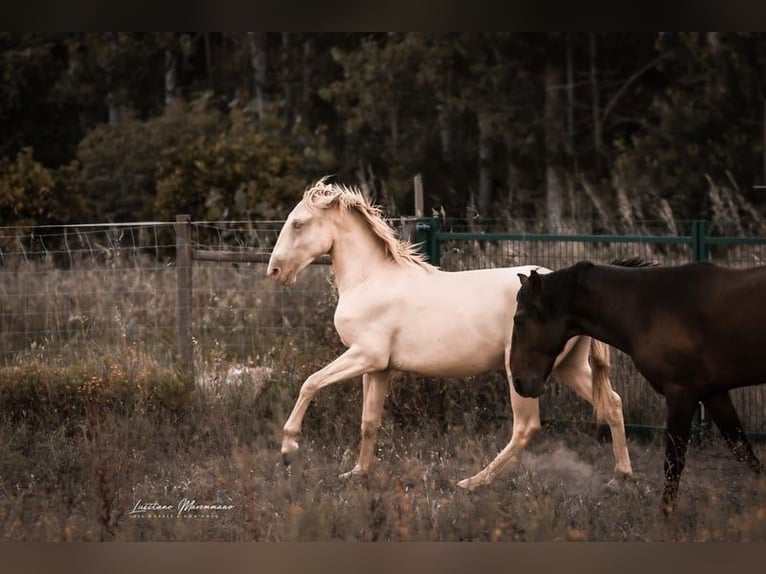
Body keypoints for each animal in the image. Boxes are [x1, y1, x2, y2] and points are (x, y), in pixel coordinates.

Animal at [268, 180, 632, 490]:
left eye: (298, 224)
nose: (275, 271)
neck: (370, 278)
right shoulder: (378, 367)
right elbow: (369, 421)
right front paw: (357, 473)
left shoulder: (363, 355)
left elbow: (310, 383)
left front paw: (288, 448)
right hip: (569, 367)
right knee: (613, 403)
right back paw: (620, 477)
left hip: (521, 371)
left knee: (526, 427)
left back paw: (472, 483)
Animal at [510, 258, 766, 516]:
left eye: (519, 320)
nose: (519, 381)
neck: (646, 307)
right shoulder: (714, 393)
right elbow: (743, 451)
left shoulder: (682, 394)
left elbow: (673, 463)